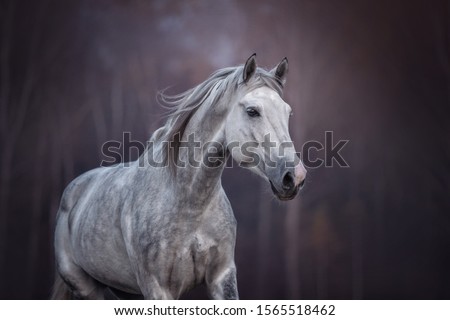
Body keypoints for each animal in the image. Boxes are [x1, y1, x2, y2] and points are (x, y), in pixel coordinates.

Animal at [51, 55, 306, 300]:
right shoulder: (158, 287)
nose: (295, 176)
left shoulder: (222, 277)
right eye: (252, 111)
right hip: (87, 288)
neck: (189, 202)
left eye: (288, 112)